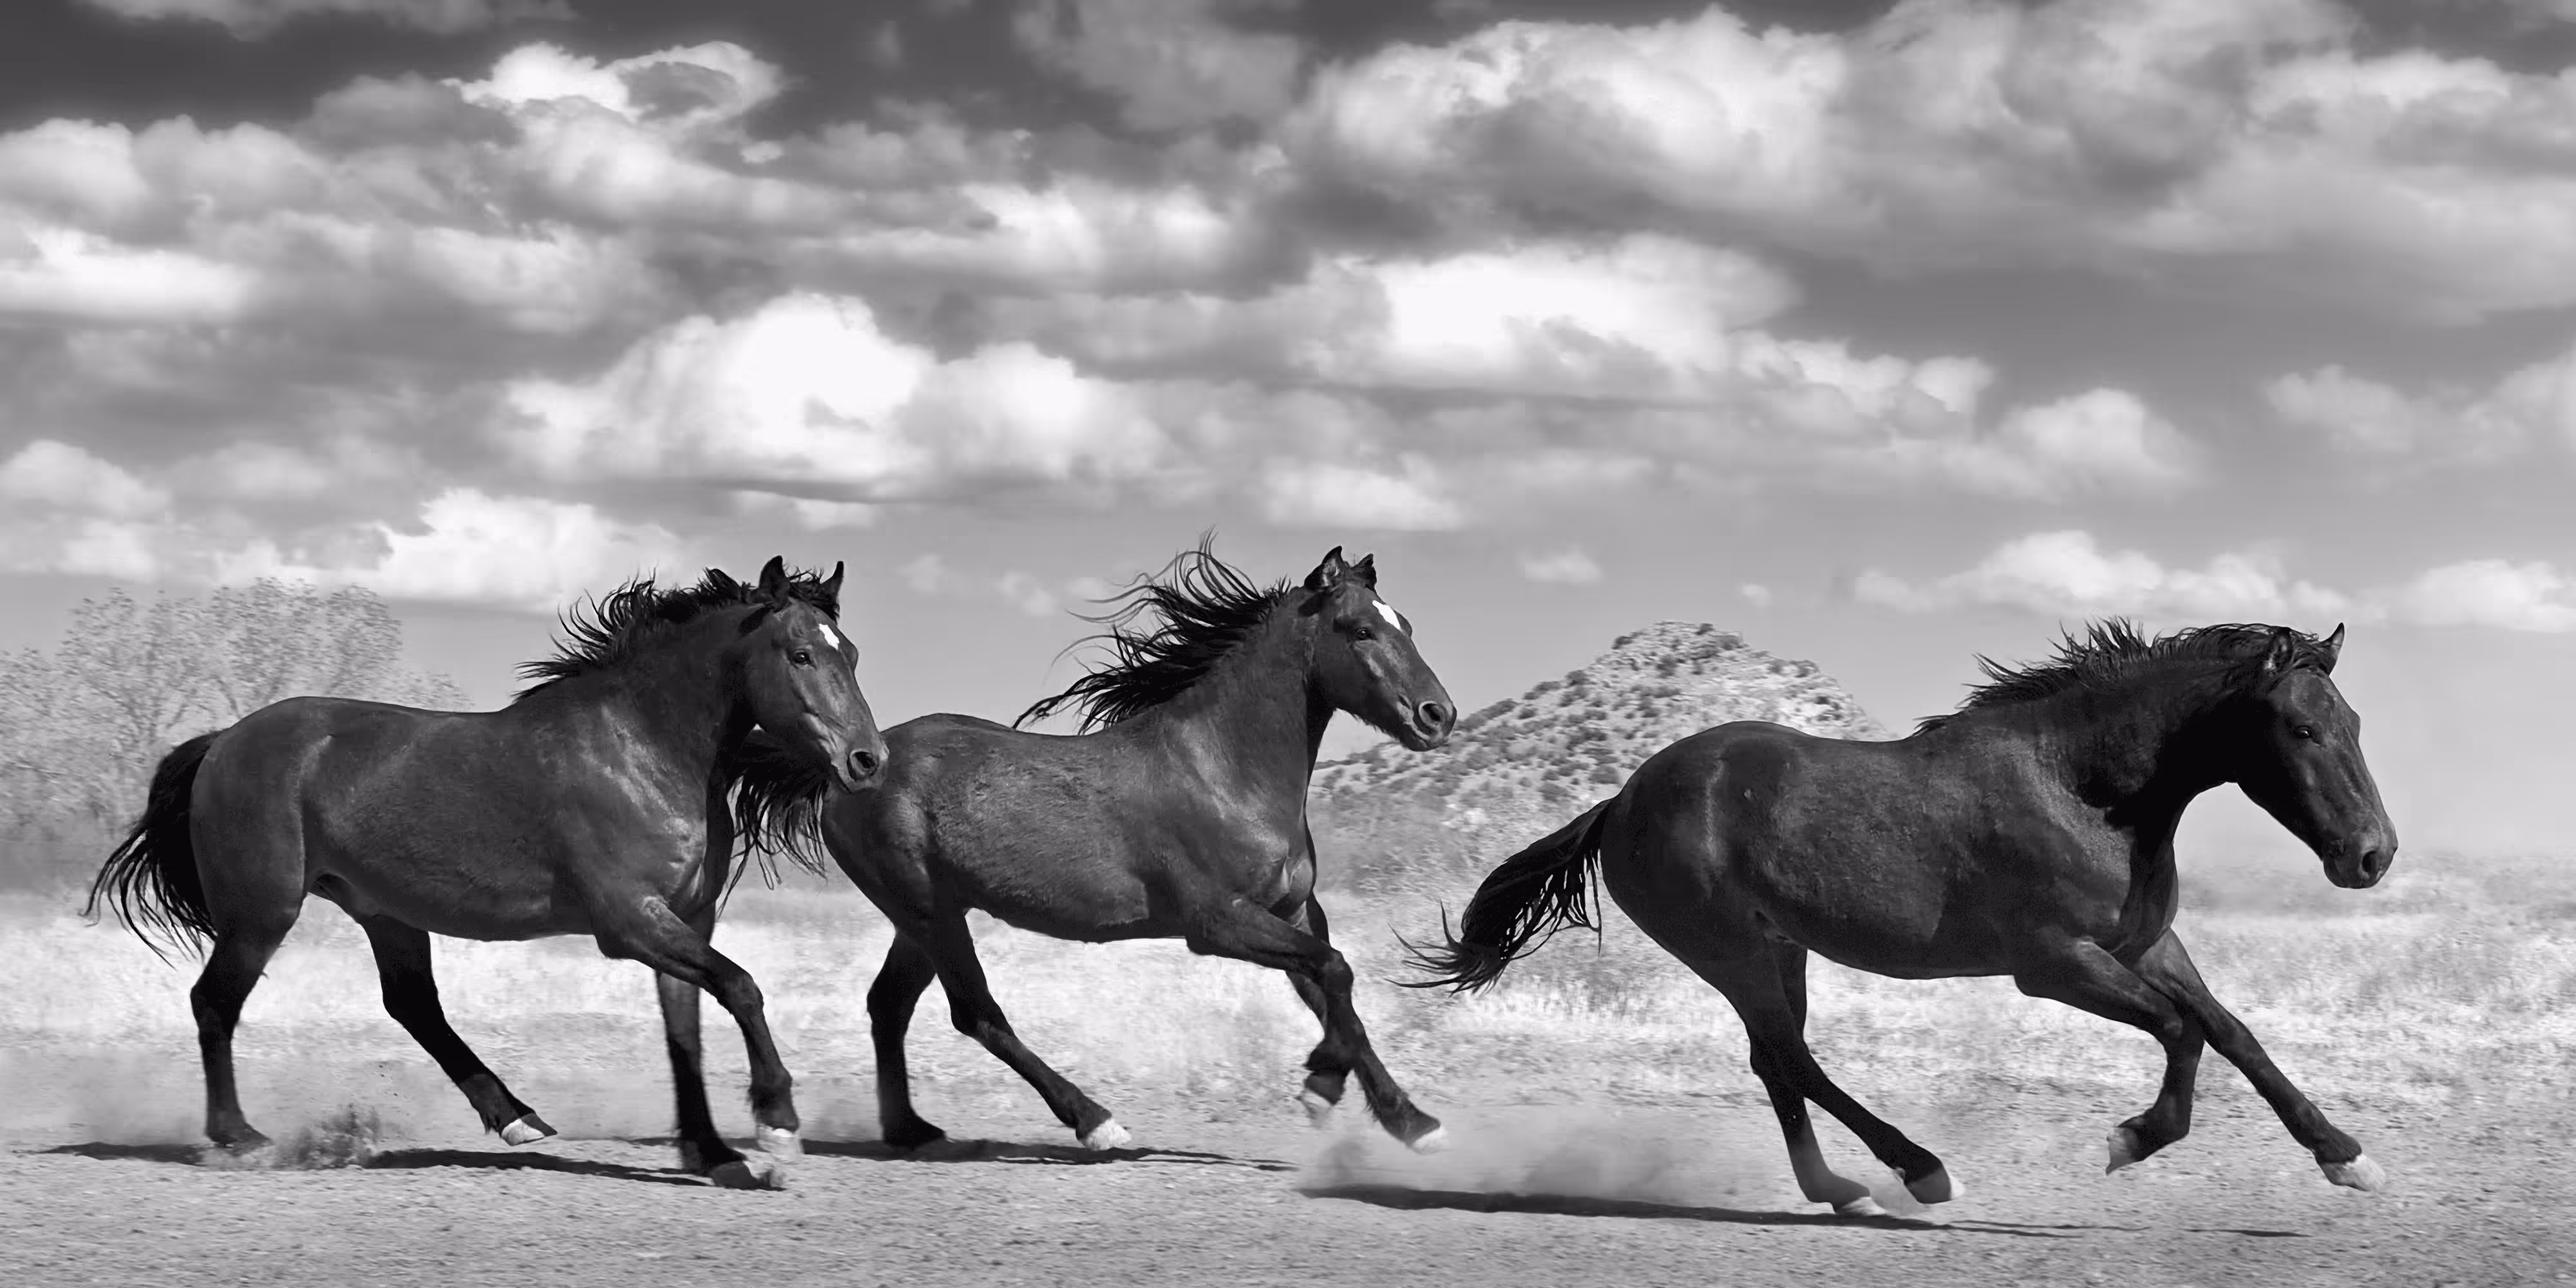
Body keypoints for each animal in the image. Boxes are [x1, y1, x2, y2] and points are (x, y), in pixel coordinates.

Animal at [85, 557, 888, 1190]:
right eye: (799, 653)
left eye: (851, 652)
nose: (867, 760)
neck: (643, 745)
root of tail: (224, 741)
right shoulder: (630, 921)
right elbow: (744, 987)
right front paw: (778, 1125)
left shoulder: (686, 919)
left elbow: (685, 1031)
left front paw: (715, 1152)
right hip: (263, 912)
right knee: (214, 1002)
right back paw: (241, 1138)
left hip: (384, 910)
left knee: (413, 1004)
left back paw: (517, 1117)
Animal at [733, 542, 1458, 1154]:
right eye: (1360, 630)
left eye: (1408, 624)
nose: (1437, 716)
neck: (1225, 770)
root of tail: (850, 766)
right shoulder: (1218, 921)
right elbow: (1336, 973)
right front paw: (1320, 1086)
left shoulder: (1293, 912)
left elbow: (1337, 993)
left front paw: (1412, 1122)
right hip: (928, 912)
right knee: (976, 1014)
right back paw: (1096, 1121)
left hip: (922, 917)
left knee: (889, 1005)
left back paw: (910, 1129)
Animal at [1407, 620, 2399, 1216]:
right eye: (2301, 729)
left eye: (2352, 719)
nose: (2372, 855)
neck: (2081, 787)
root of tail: (1621, 800)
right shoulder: (2054, 965)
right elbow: (2181, 1033)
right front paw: (2131, 1140)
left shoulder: (2147, 945)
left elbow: (2233, 1033)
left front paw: (2345, 1154)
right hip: (1730, 951)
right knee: (1792, 1060)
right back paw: (1917, 1170)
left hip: (1782, 950)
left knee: (1776, 1062)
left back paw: (1841, 1188)